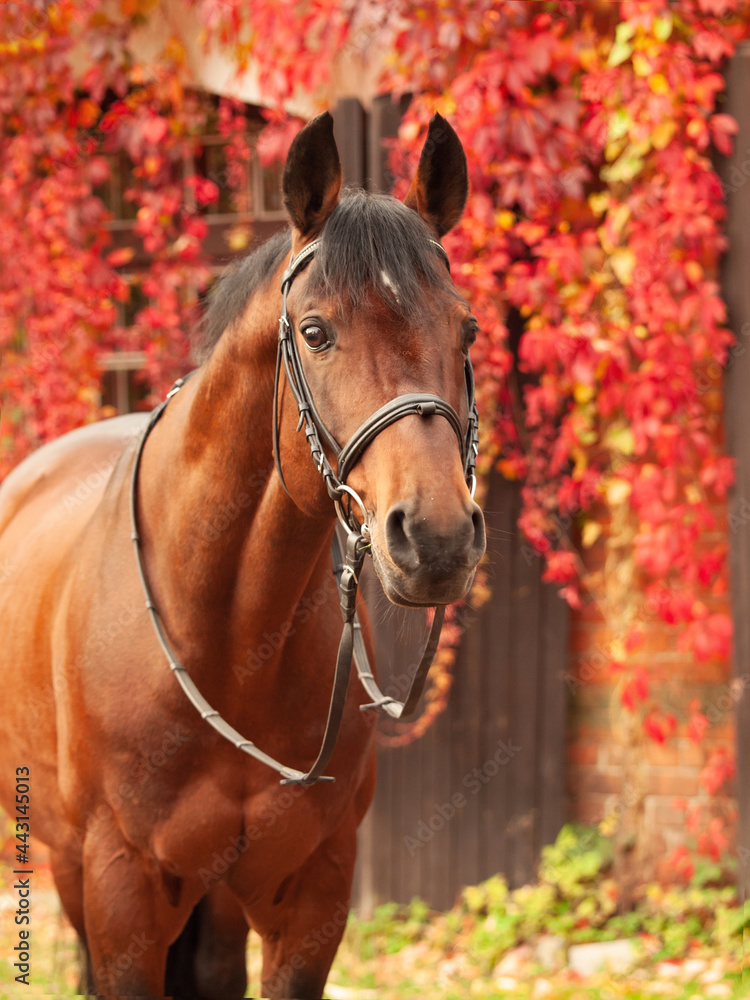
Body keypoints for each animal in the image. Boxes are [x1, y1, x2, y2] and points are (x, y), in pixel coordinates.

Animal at [0, 110, 485, 998]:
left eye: (464, 328)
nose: (435, 539)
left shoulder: (313, 897)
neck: (228, 639)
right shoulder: (121, 897)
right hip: (67, 864)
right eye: (315, 332)